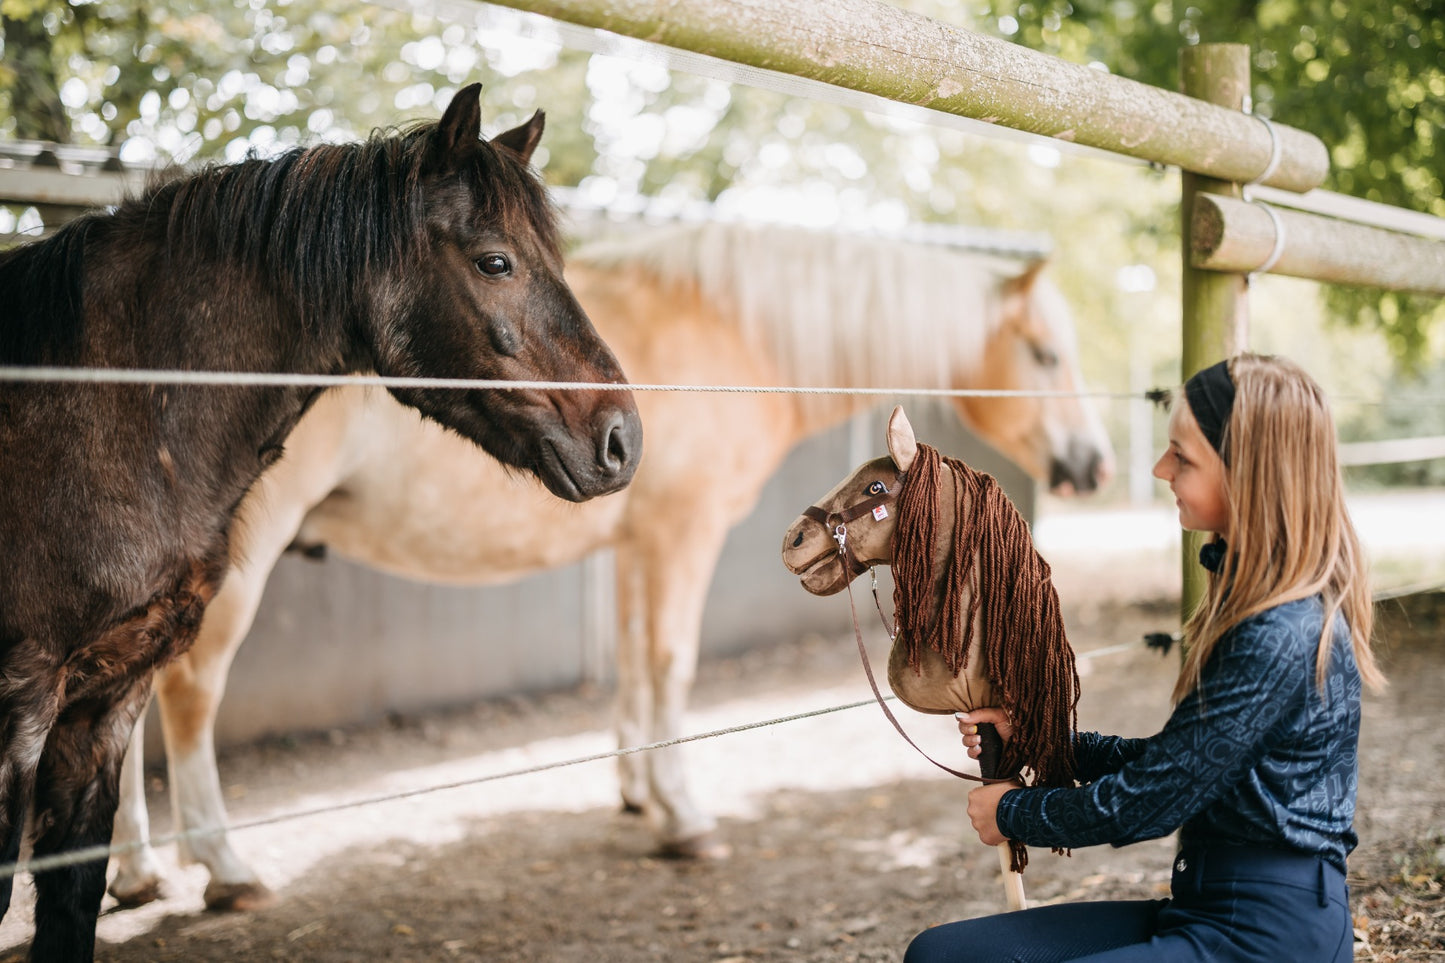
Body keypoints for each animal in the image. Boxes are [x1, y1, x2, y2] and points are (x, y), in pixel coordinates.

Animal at [0, 84, 638, 960]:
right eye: (494, 261)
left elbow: (71, 896)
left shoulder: (103, 705)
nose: (622, 438)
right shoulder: (19, 704)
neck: (109, 407)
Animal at [112, 221, 1109, 913]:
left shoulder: (635, 548)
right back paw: (224, 867)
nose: (1092, 463)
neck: (727, 334)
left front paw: (638, 792)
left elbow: (634, 666)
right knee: (188, 695)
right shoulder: (679, 535)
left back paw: (134, 870)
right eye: (1045, 352)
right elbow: (669, 664)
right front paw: (683, 819)